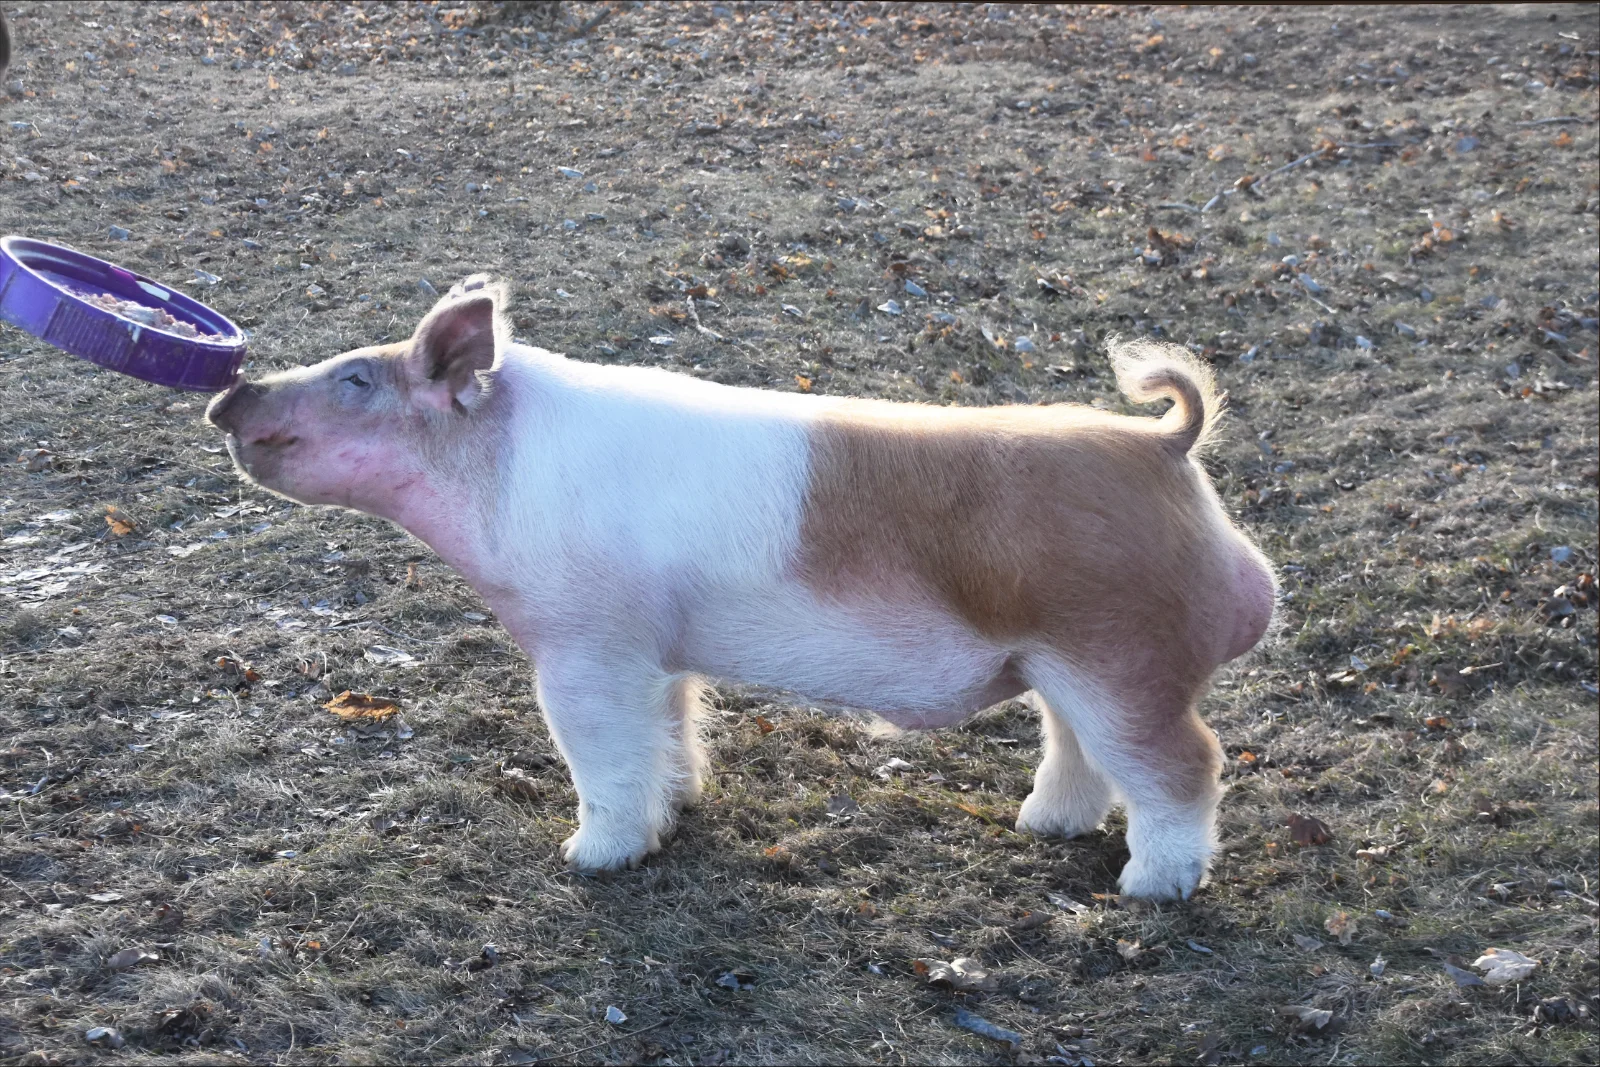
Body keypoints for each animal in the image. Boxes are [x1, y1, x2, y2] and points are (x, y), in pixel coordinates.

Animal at [206, 276, 1276, 900]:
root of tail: (1163, 444)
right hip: (1060, 661)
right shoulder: (658, 651)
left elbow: (599, 753)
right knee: (1079, 750)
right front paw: (680, 805)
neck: (496, 475)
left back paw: (1151, 889)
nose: (229, 392)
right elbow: (670, 728)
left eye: (356, 380)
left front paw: (591, 858)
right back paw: (1040, 825)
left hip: (1122, 651)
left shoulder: (584, 642)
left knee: (1187, 762)